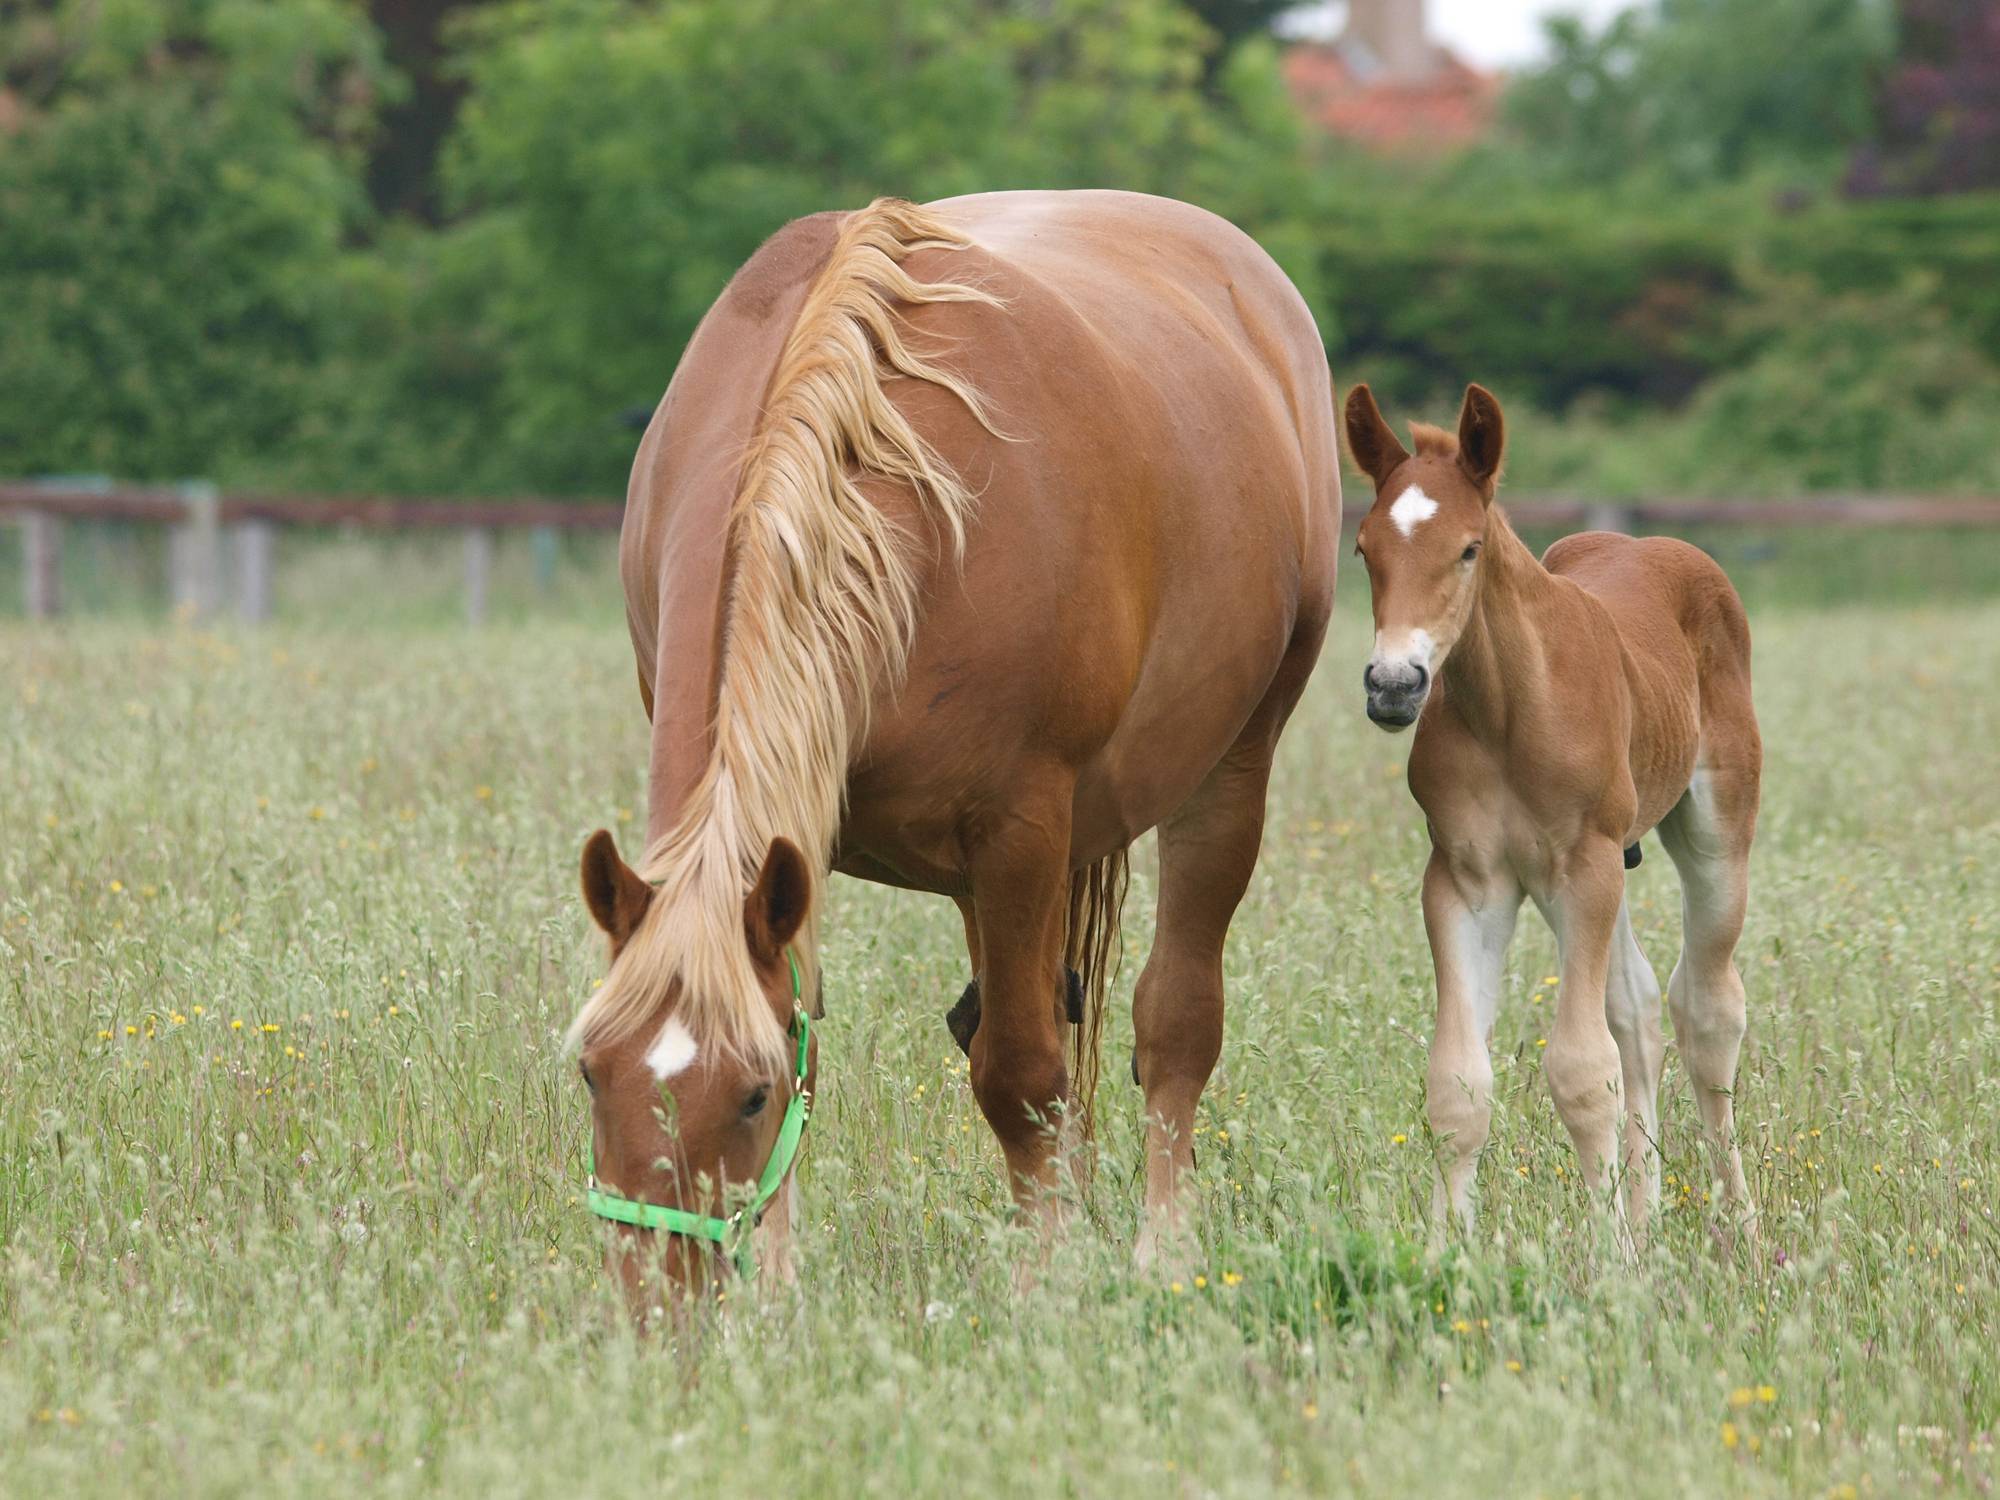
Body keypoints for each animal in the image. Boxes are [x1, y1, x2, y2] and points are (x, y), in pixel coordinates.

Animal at [572, 194, 1336, 1296]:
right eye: (592, 1071)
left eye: (749, 1094)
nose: (661, 1302)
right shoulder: (800, 850)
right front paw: (782, 1294)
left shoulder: (1020, 830)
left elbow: (1019, 1074)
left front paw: (1046, 1285)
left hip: (1225, 772)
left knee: (1173, 1024)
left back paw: (1159, 1253)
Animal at [1344, 384, 1768, 1248]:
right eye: (1366, 550)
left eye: (1469, 549)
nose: (1394, 684)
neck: (1510, 706)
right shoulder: (1467, 881)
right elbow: (1458, 1083)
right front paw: (1443, 1254)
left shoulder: (1587, 865)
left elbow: (1579, 1069)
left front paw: (1607, 1258)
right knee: (1637, 1007)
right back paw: (1647, 1217)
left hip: (1711, 834)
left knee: (1706, 1008)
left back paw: (1739, 1227)